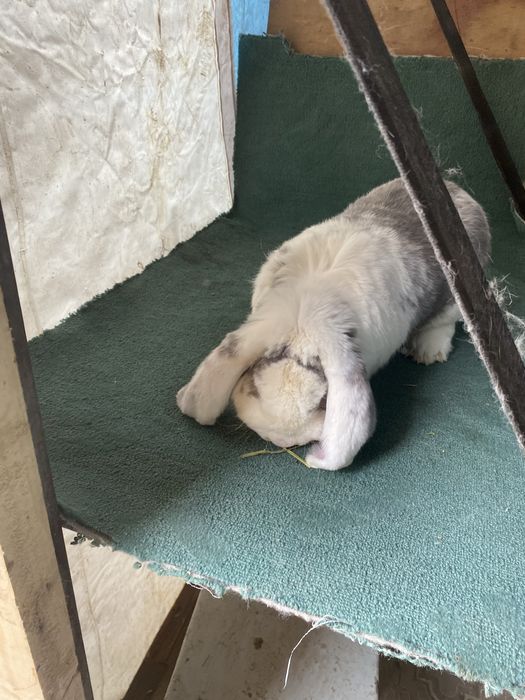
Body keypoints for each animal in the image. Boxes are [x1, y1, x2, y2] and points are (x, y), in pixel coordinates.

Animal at [177, 178, 491, 471]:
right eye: (255, 383)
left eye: (323, 402)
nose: (279, 438)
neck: (301, 326)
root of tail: (456, 189)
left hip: (455, 296)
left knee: (444, 323)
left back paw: (427, 351)